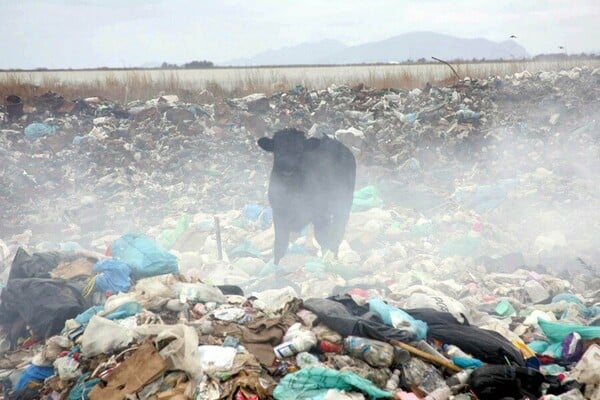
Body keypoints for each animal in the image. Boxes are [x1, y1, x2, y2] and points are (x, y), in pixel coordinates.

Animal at [258, 129, 356, 266]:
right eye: (277, 152)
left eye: (300, 153)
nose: (288, 170)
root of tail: (332, 141)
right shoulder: (278, 214)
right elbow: (280, 244)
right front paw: (275, 266)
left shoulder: (320, 214)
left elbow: (322, 238)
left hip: (343, 202)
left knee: (338, 229)